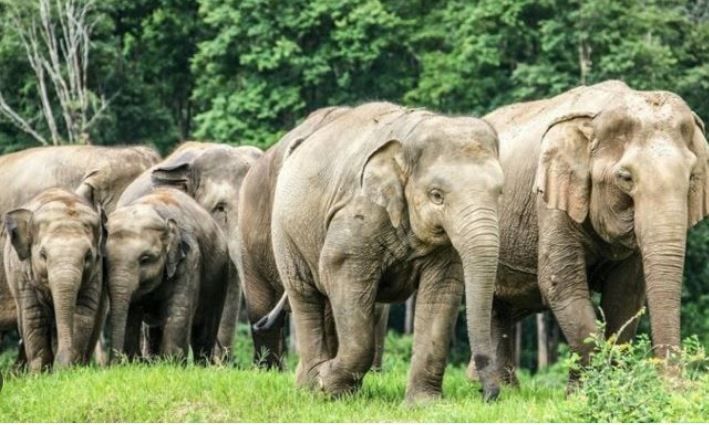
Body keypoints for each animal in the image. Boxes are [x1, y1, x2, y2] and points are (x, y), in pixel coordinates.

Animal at [3, 188, 106, 372]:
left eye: (88, 256)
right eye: (43, 255)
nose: (60, 368)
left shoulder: (96, 271)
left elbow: (81, 314)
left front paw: (71, 370)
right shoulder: (22, 273)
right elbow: (35, 316)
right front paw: (39, 373)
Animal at [105, 187, 229, 363]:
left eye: (145, 259)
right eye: (104, 259)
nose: (113, 364)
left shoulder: (190, 258)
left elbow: (178, 312)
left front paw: (172, 363)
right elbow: (131, 313)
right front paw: (134, 362)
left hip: (220, 277)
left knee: (204, 330)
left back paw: (201, 364)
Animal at [268, 102, 503, 403]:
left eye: (500, 193)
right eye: (436, 195)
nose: (488, 395)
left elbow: (442, 291)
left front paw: (423, 404)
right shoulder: (359, 215)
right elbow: (338, 267)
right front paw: (326, 383)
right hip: (285, 232)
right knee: (305, 295)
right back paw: (312, 385)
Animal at [468, 80, 708, 386]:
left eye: (691, 178)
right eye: (625, 178)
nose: (674, 386)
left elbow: (626, 294)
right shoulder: (551, 200)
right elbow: (561, 283)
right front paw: (586, 390)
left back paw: (506, 389)